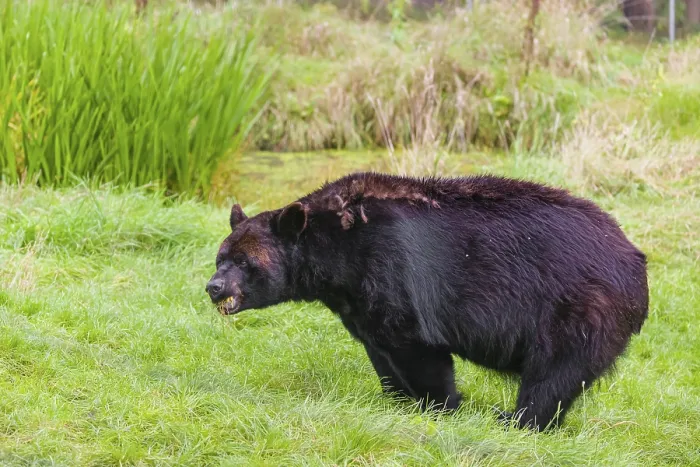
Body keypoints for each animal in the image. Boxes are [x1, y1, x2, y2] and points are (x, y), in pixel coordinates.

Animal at [205, 172, 649, 430]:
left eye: (244, 262)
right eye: (220, 257)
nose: (214, 287)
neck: (337, 247)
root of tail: (636, 263)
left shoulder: (392, 268)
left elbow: (417, 346)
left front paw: (440, 406)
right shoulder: (357, 301)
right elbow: (378, 347)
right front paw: (394, 398)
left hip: (580, 308)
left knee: (554, 373)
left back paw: (515, 419)